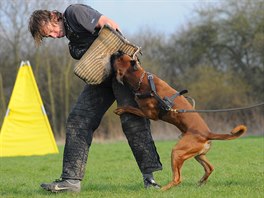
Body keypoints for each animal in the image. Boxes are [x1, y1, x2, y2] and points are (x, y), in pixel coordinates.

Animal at [110, 50, 246, 190]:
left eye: (121, 58)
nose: (118, 51)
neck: (143, 81)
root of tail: (207, 133)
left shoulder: (149, 114)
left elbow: (131, 108)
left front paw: (121, 109)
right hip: (198, 154)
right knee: (210, 168)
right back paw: (201, 181)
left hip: (177, 152)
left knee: (178, 179)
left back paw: (163, 189)